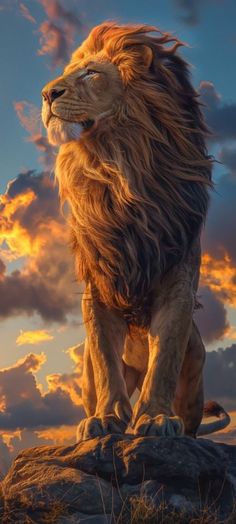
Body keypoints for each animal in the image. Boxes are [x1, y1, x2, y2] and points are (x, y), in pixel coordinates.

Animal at [41, 21, 230, 438]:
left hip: (196, 367)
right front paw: (107, 418)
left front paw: (156, 418)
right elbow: (105, 360)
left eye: (90, 73)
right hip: (85, 377)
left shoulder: (178, 280)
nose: (46, 94)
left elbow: (165, 359)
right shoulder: (99, 283)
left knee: (188, 417)